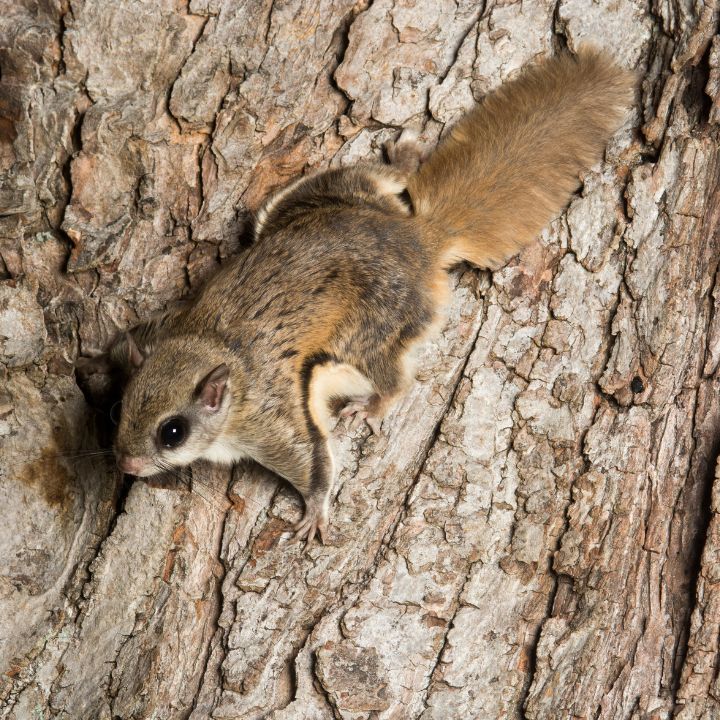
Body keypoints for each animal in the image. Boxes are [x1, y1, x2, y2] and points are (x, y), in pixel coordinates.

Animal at [111, 47, 634, 547]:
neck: (211, 350)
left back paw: (375, 404)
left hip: (372, 329)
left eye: (172, 432)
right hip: (316, 197)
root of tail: (419, 240)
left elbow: (311, 461)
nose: (127, 466)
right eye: (120, 407)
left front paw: (315, 514)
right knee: (374, 178)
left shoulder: (270, 417)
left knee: (395, 377)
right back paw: (402, 159)